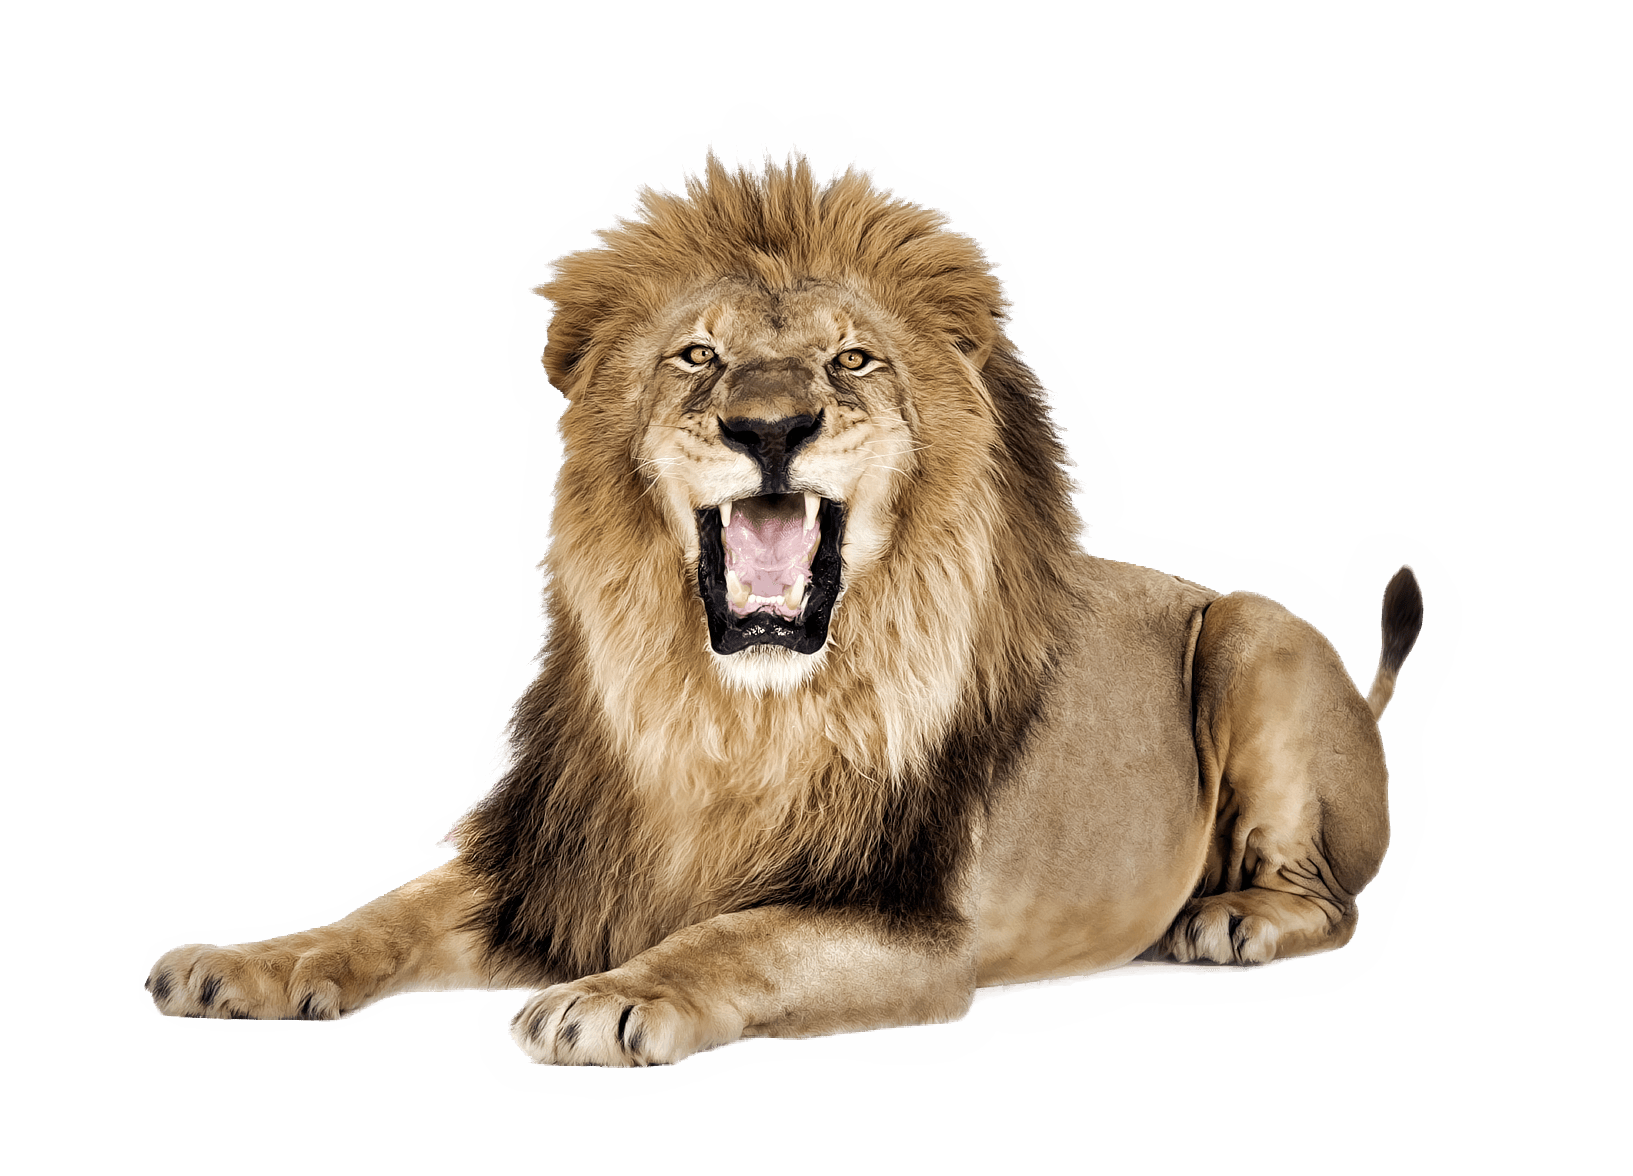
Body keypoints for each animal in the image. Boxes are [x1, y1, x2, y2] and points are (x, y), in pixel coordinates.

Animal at [145, 162, 1425, 1067]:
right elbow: (381, 910)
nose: (767, 427)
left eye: (851, 361)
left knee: (1328, 895)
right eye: (695, 356)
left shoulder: (912, 926)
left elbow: (740, 934)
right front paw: (237, 964)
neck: (732, 716)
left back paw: (1229, 920)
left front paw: (612, 997)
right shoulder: (552, 862)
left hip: (1257, 636)